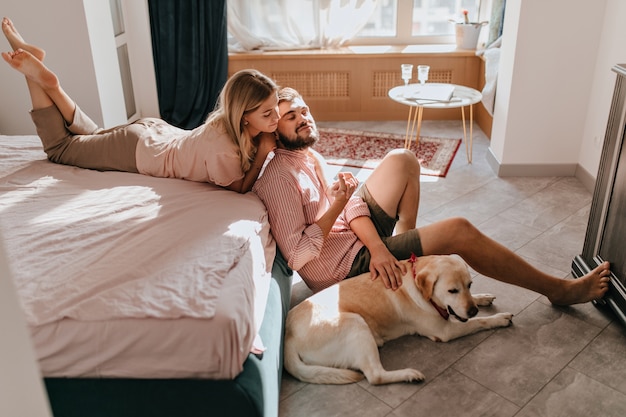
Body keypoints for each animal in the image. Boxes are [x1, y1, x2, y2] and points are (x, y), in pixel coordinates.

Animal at [282, 254, 512, 384]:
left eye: (469, 285)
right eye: (452, 291)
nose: (472, 311)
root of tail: (287, 338)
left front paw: (482, 298)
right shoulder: (444, 331)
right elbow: (478, 323)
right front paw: (499, 318)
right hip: (355, 323)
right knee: (374, 376)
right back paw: (409, 375)